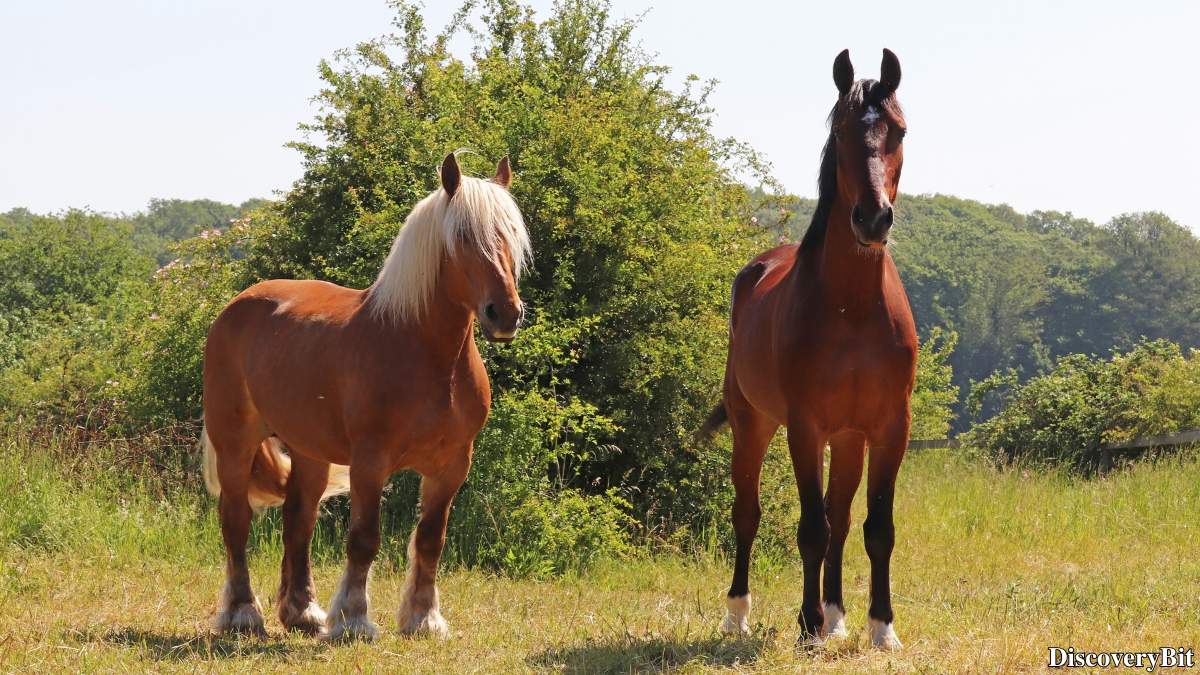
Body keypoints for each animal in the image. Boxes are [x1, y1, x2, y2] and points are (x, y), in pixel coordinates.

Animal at [200, 153, 531, 640]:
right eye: (464, 236)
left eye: (512, 235)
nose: (504, 313)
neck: (426, 355)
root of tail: (236, 306)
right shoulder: (371, 462)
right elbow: (364, 539)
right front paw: (353, 619)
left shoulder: (452, 465)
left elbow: (431, 539)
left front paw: (423, 618)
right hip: (236, 444)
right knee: (236, 521)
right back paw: (244, 613)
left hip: (310, 452)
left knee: (298, 521)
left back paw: (303, 611)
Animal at [700, 49, 916, 649]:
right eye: (841, 132)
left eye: (898, 131)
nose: (873, 217)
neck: (853, 309)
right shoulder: (804, 426)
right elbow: (810, 528)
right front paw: (809, 625)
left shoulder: (888, 427)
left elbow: (875, 527)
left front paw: (881, 628)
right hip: (754, 424)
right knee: (746, 514)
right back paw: (739, 614)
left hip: (847, 438)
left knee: (840, 518)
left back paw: (838, 615)